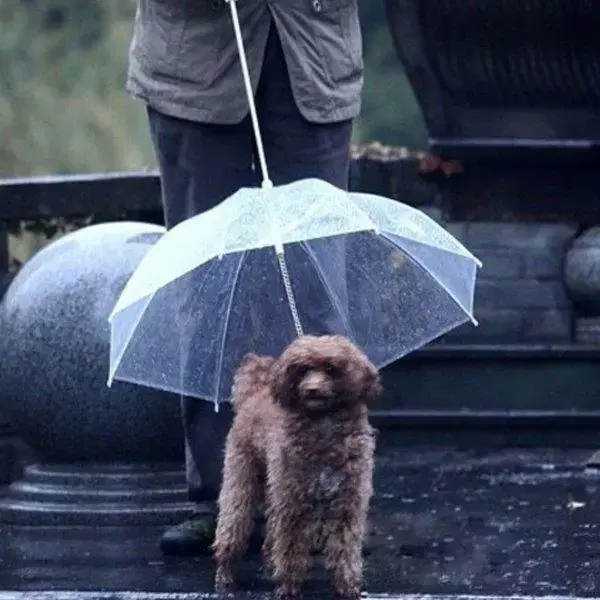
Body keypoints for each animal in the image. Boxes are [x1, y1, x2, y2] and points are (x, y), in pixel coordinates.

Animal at [212, 332, 380, 600]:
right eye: (302, 370)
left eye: (330, 368)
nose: (312, 390)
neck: (322, 426)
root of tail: (253, 393)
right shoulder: (292, 504)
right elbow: (290, 548)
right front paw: (288, 588)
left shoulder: (346, 504)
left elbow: (344, 550)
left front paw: (347, 587)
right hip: (241, 479)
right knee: (233, 524)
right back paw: (224, 575)